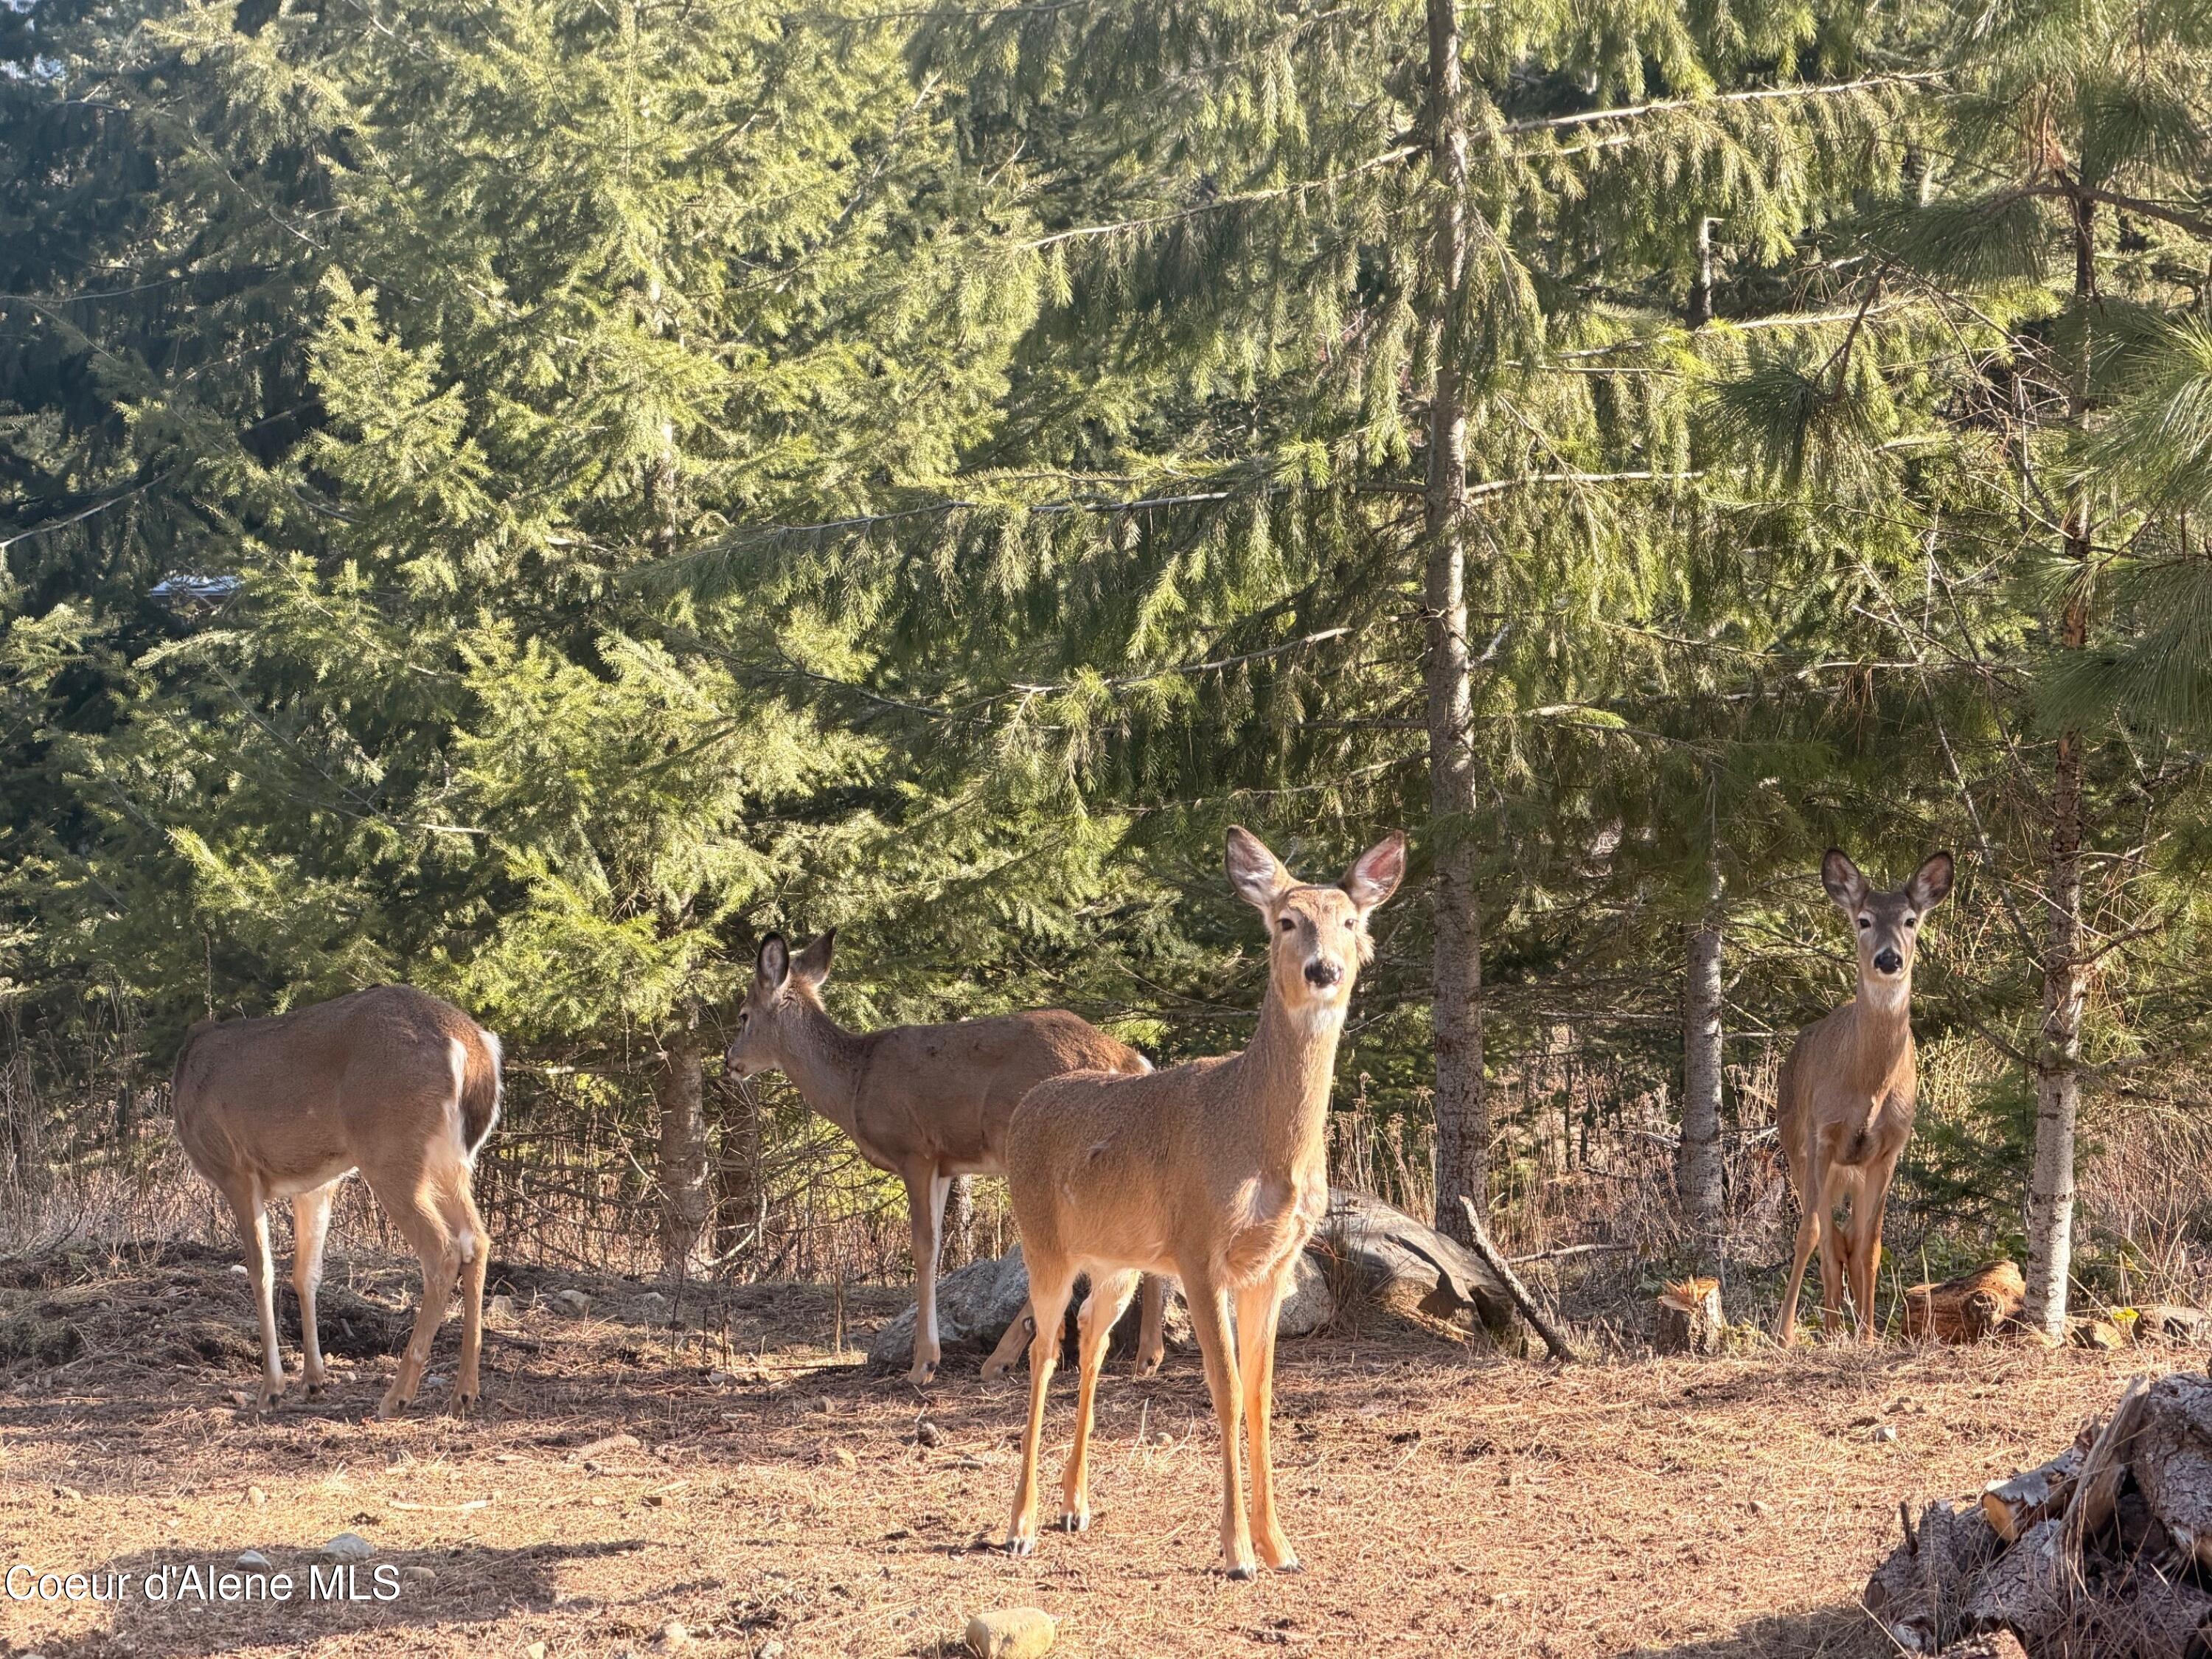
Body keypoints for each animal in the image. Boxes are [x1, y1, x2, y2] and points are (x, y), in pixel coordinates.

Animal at [171, 983, 502, 1417]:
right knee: (475, 1239)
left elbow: (261, 1273)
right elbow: (306, 1274)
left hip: (390, 1148)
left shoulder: (235, 1169)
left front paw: (271, 1390)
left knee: (442, 1250)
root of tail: (475, 1046)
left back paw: (397, 1396)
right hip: (450, 1159)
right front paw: (313, 1380)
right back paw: (464, 1391)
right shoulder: (315, 1183)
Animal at [724, 931, 1169, 1387]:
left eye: (743, 1014)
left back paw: (1004, 1357)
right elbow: (938, 1245)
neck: (854, 1083)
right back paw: (1147, 1355)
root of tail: (1131, 1060)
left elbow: (924, 1247)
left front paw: (923, 1363)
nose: (730, 1062)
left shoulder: (915, 1148)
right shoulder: (944, 1163)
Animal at [1000, 826, 1406, 1577]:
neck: (1260, 1140)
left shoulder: (1274, 1263)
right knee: (1043, 1350)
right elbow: (1225, 1391)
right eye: (1286, 921)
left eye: (1350, 921)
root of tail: (1025, 1108)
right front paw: (1238, 1551)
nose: (1324, 970)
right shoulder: (1198, 1249)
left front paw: (1282, 1547)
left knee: (1091, 1339)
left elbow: (1262, 1393)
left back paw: (1076, 1507)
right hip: (1043, 1241)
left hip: (1119, 1264)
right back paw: (1020, 1524)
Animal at [1774, 848, 1954, 1345]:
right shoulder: (1821, 1136)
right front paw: (1785, 1333)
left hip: (1849, 1172)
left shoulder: (1889, 1147)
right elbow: (1809, 1234)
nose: (1889, 958)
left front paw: (1871, 1335)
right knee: (1827, 1236)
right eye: (1864, 920)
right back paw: (1829, 1323)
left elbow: (1870, 1244)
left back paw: (1846, 1325)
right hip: (1797, 1148)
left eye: (1911, 919)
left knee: (1848, 1238)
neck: (1867, 1085)